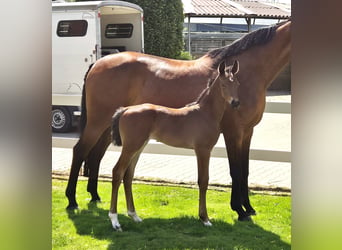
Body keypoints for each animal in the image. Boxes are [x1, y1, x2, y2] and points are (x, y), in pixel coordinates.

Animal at [109, 60, 240, 230]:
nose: (235, 103)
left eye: (237, 83)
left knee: (128, 175)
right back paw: (115, 220)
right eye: (223, 84)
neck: (205, 113)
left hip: (139, 146)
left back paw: (134, 216)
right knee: (118, 172)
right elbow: (203, 180)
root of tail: (125, 109)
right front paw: (205, 218)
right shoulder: (203, 150)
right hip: (131, 147)